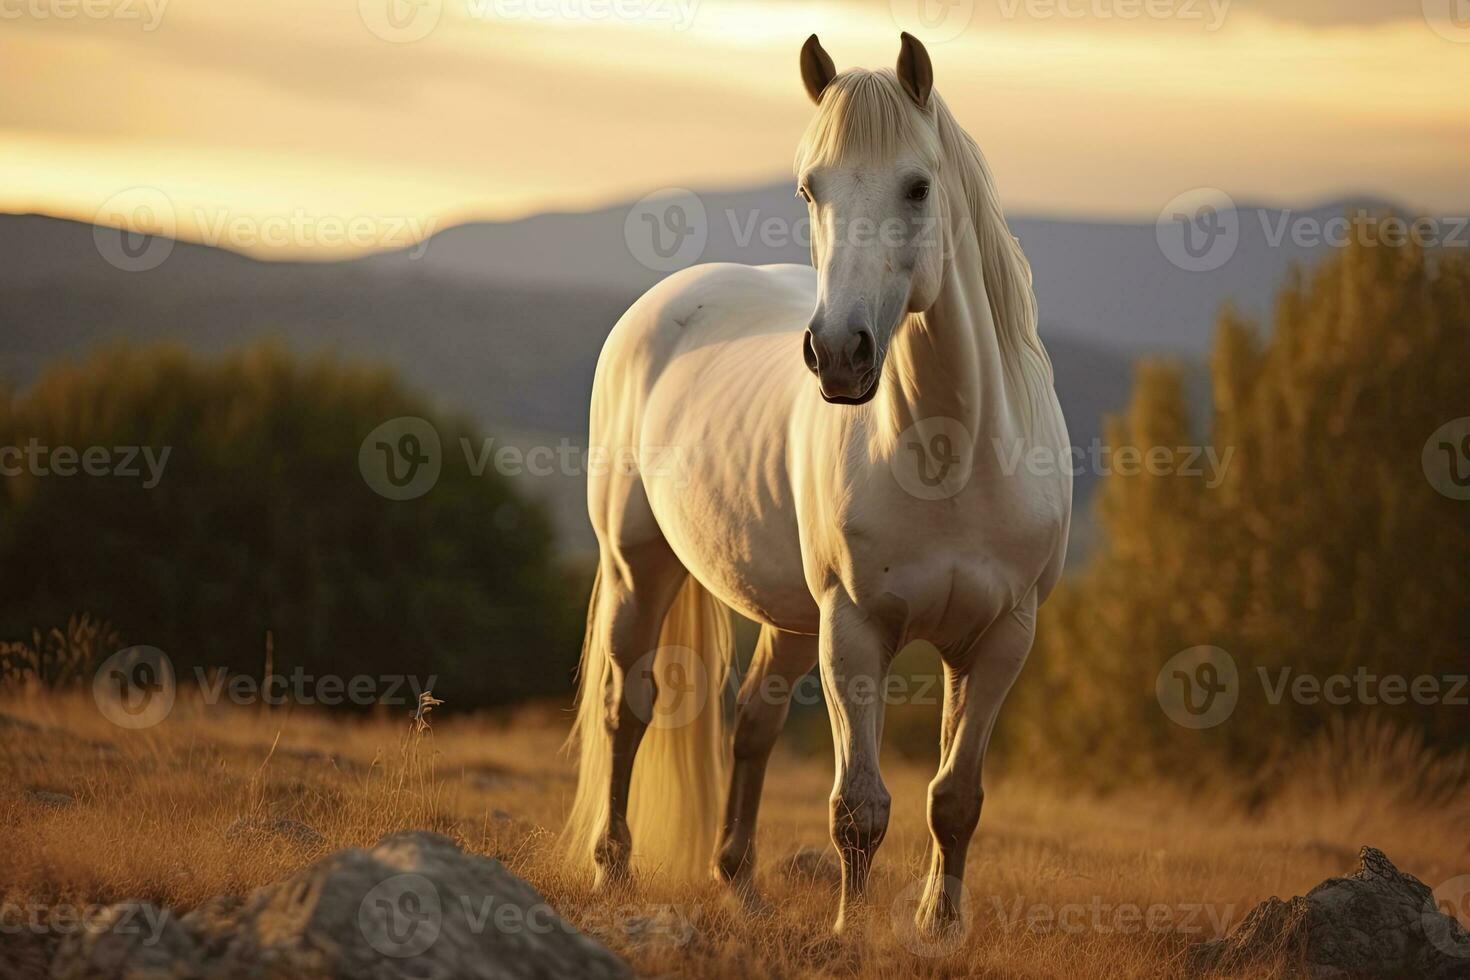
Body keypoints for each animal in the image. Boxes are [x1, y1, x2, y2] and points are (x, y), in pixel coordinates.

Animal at [561, 30, 1070, 934]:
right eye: (810, 189)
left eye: (917, 185)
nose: (838, 354)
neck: (953, 460)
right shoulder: (855, 631)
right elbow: (859, 806)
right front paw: (850, 930)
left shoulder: (1001, 638)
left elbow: (955, 799)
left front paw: (939, 930)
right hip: (637, 567)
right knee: (631, 706)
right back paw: (612, 869)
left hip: (791, 616)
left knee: (753, 724)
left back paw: (739, 882)